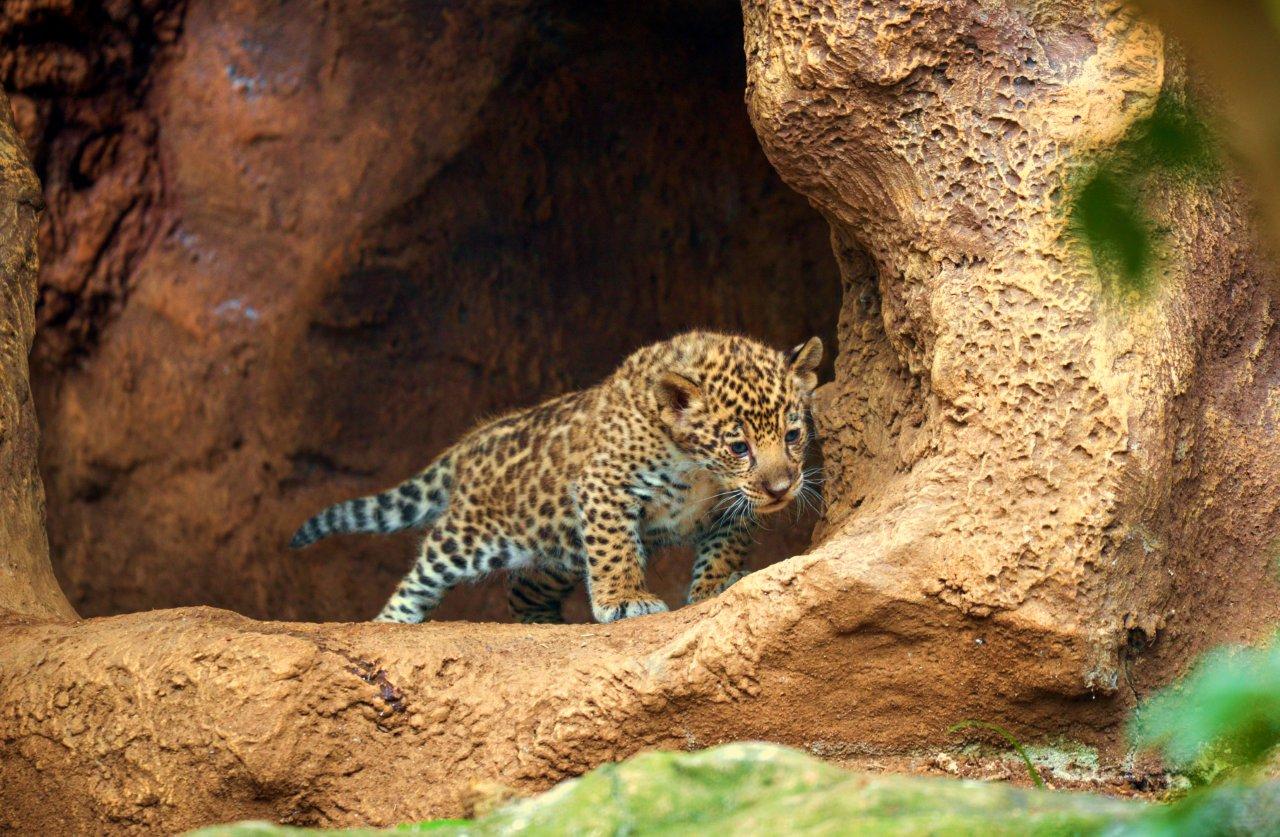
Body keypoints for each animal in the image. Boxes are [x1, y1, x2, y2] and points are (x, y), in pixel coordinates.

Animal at [288, 330, 824, 624]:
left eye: (793, 435)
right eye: (739, 447)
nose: (781, 488)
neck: (699, 470)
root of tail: (473, 441)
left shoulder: (732, 507)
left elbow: (723, 547)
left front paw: (714, 587)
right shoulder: (605, 485)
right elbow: (615, 549)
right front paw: (624, 601)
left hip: (555, 551)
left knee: (522, 589)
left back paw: (542, 624)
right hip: (469, 538)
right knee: (421, 575)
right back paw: (390, 623)